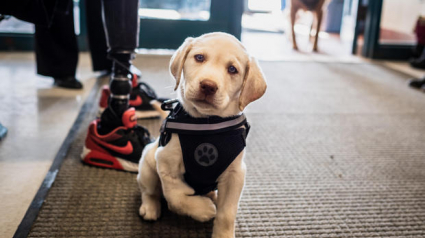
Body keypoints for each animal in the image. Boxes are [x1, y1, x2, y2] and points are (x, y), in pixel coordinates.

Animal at [137, 32, 264, 238]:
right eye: (199, 58)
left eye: (232, 69)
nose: (208, 86)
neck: (207, 123)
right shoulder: (165, 163)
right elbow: (175, 197)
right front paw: (203, 210)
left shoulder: (236, 174)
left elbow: (227, 213)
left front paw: (223, 233)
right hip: (147, 163)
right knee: (150, 191)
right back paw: (150, 207)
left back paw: (213, 195)